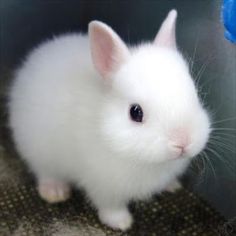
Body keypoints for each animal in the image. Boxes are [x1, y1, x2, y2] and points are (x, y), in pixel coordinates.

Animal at [8, 10, 210, 231]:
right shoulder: (104, 186)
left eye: (196, 94)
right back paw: (55, 192)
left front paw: (172, 185)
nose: (182, 143)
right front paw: (122, 223)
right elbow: (110, 206)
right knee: (45, 172)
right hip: (39, 151)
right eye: (135, 112)